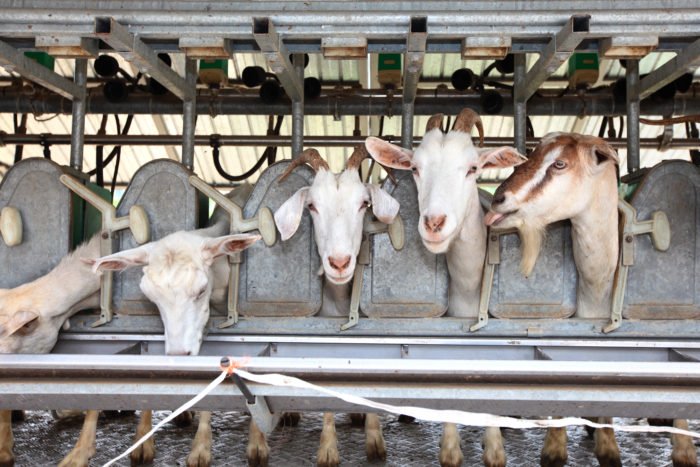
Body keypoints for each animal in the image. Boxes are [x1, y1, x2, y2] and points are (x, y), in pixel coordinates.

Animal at [366, 108, 524, 467]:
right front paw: (451, 449)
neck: (468, 287)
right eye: (414, 168)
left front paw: (494, 449)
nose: (434, 223)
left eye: (472, 168)